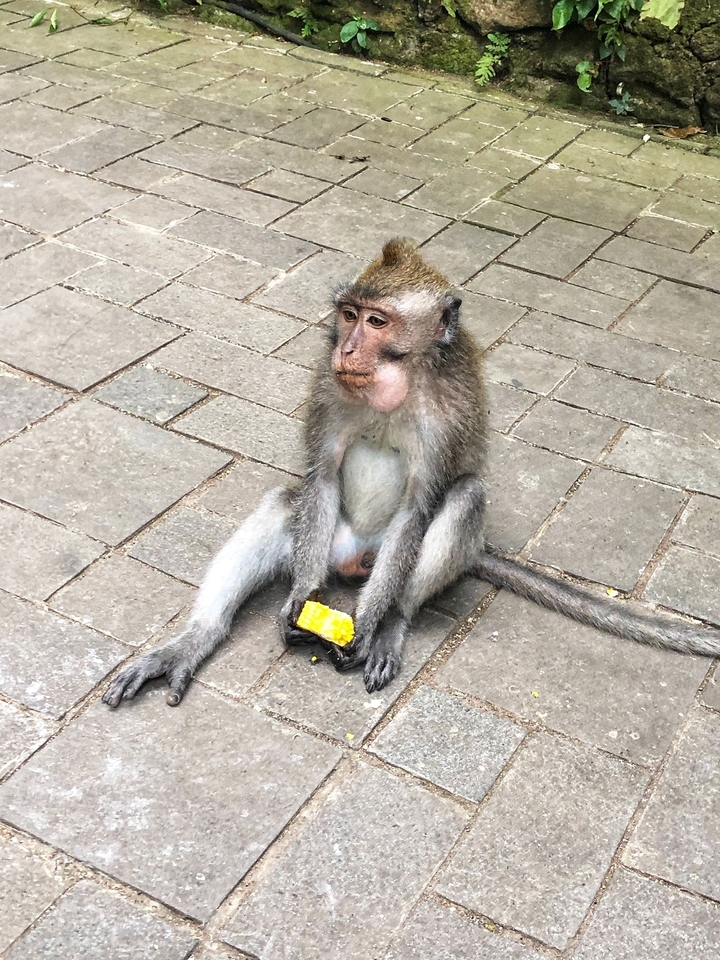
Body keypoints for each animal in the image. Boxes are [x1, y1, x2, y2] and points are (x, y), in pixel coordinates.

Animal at [103, 238, 720, 708]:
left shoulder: (447, 415)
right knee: (286, 503)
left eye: (378, 321)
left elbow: (421, 506)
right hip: (332, 539)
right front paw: (300, 596)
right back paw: (193, 641)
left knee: (463, 498)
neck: (395, 383)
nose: (348, 347)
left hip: (388, 557)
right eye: (349, 315)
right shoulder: (326, 388)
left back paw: (392, 624)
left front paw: (373, 620)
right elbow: (319, 480)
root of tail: (354, 559)